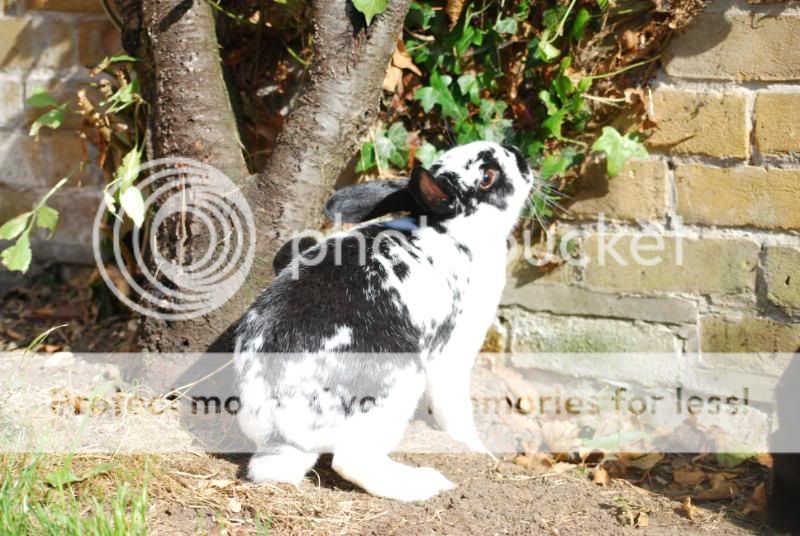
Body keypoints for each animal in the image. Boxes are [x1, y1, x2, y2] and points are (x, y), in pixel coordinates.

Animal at [234, 140, 536, 500]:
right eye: (487, 177)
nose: (519, 155)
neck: (453, 231)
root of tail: (280, 434)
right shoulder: (453, 354)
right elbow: (456, 412)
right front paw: (480, 451)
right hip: (399, 382)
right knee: (352, 461)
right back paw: (425, 483)